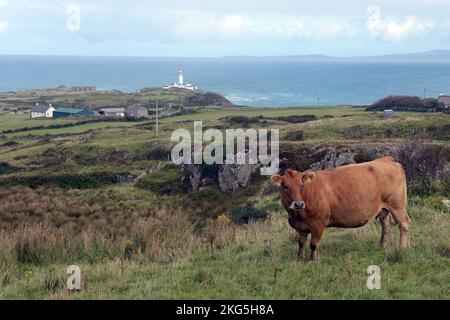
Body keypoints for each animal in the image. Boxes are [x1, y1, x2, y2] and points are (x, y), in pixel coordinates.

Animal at [270, 157, 412, 260]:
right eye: (285, 186)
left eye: (302, 185)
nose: (299, 204)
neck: (297, 215)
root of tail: (386, 159)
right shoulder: (301, 226)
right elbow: (301, 243)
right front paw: (299, 258)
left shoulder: (318, 222)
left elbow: (313, 244)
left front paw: (312, 260)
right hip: (384, 208)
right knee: (386, 226)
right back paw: (382, 246)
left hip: (397, 205)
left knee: (403, 224)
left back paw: (401, 248)